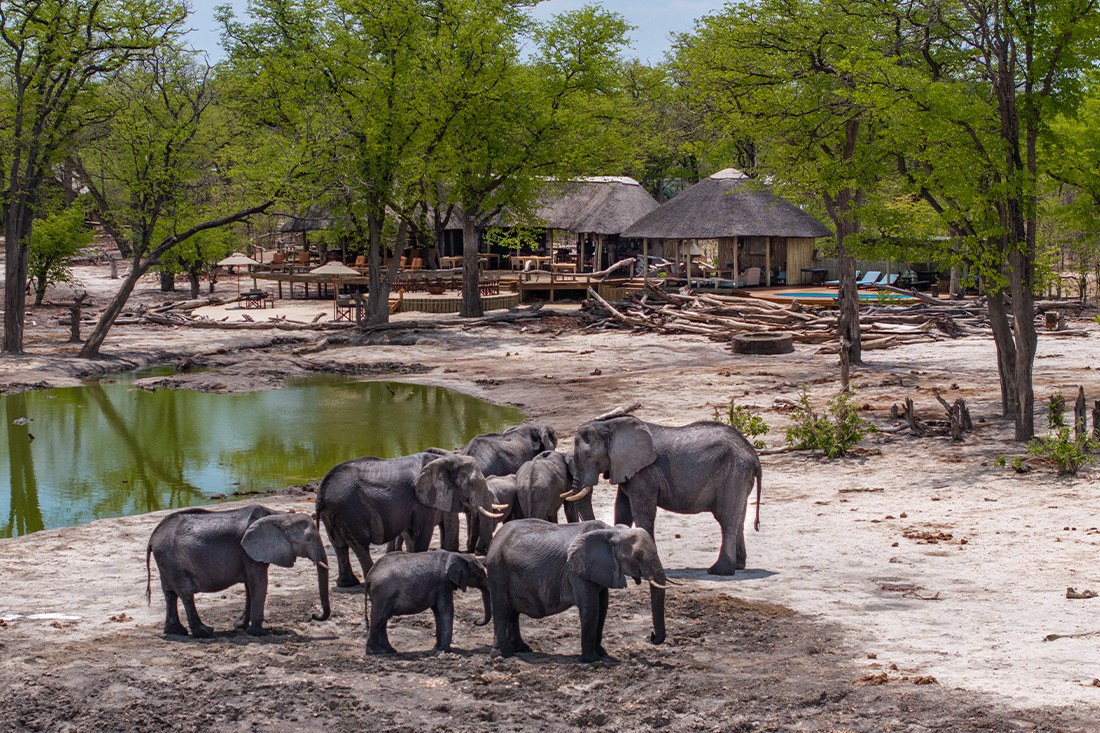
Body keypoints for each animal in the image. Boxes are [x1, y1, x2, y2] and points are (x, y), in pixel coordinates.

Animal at [146, 505, 330, 637]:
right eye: (308, 539)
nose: (313, 615)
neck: (281, 516)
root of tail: (152, 538)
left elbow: (250, 584)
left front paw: (240, 626)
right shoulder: (250, 552)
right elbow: (259, 582)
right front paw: (259, 633)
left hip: (166, 560)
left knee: (170, 593)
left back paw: (176, 631)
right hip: (171, 557)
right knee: (185, 592)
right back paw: (204, 632)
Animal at [316, 450, 503, 588]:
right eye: (471, 484)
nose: (483, 557)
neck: (447, 459)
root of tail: (323, 491)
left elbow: (411, 532)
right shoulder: (421, 500)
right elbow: (422, 532)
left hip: (333, 513)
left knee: (340, 546)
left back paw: (347, 584)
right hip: (350, 511)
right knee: (359, 545)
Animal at [487, 519, 670, 662]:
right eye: (637, 556)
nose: (652, 636)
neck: (612, 531)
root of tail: (494, 540)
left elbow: (603, 607)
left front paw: (602, 654)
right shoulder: (576, 571)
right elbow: (591, 607)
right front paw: (592, 660)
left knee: (513, 613)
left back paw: (522, 649)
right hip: (498, 570)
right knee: (502, 609)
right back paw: (502, 655)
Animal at [565, 415, 761, 576]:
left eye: (589, 456)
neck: (609, 425)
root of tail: (753, 454)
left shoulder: (645, 473)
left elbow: (642, 512)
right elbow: (622, 509)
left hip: (733, 473)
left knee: (726, 520)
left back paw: (719, 571)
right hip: (740, 476)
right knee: (739, 519)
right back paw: (739, 566)